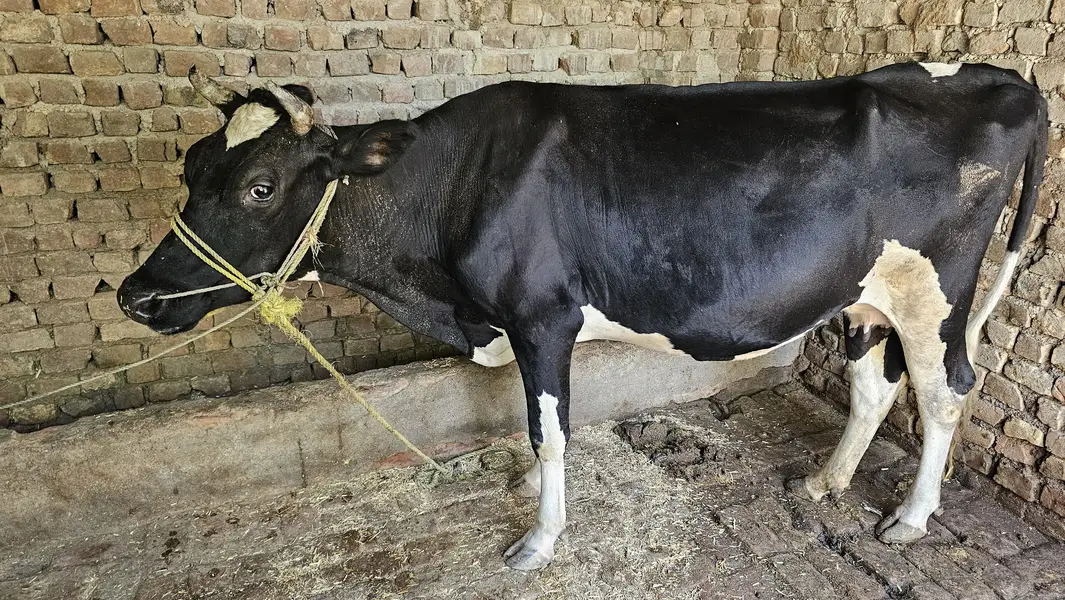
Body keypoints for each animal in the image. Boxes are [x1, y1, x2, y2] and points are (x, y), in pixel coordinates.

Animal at [118, 61, 1047, 571]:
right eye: (190, 168)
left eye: (260, 185)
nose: (137, 296)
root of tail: (999, 78)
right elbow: (531, 427)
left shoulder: (542, 319)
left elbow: (550, 431)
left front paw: (538, 539)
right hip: (863, 296)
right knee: (873, 387)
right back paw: (825, 482)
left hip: (935, 292)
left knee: (947, 390)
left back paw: (910, 519)